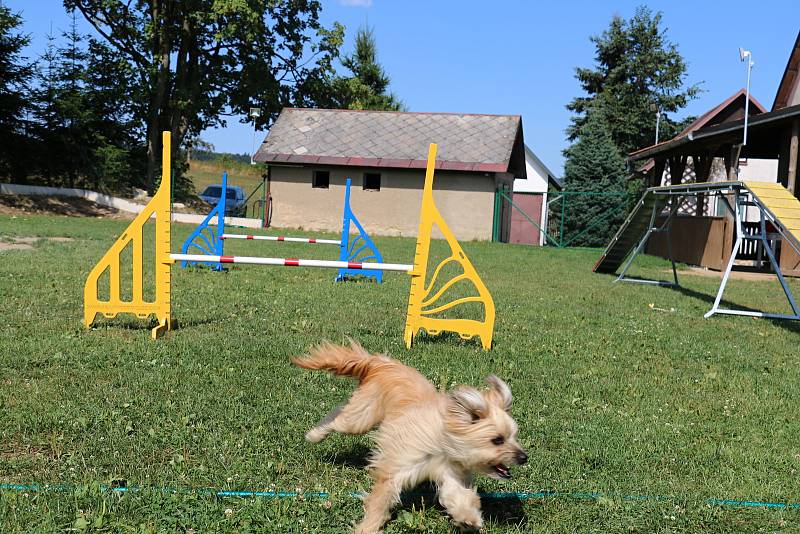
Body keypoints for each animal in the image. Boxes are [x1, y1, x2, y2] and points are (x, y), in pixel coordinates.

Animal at [290, 344, 528, 534]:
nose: (524, 457)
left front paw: (469, 519)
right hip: (360, 418)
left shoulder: (450, 472)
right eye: (497, 440)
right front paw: (367, 528)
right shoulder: (398, 467)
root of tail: (382, 363)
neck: (444, 442)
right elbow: (380, 500)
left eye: (513, 436)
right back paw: (314, 435)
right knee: (337, 418)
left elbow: (458, 496)